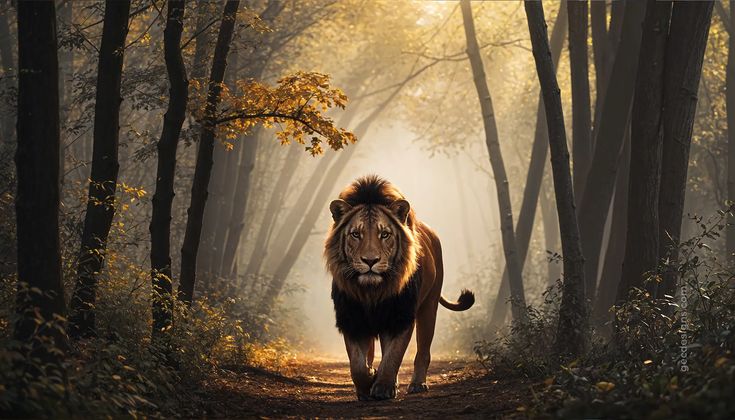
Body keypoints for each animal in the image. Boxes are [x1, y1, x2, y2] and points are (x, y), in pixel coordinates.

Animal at [324, 175, 474, 400]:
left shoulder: (400, 316)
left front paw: (383, 387)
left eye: (385, 234)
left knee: (423, 351)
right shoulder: (352, 317)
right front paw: (368, 382)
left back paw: (417, 384)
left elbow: (393, 356)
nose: (370, 261)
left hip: (429, 306)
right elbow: (357, 366)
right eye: (356, 234)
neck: (372, 291)